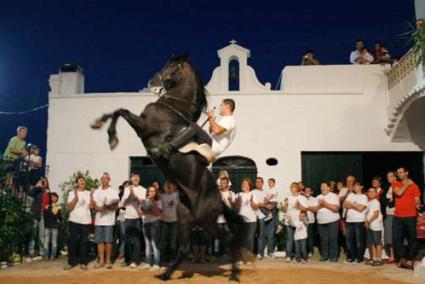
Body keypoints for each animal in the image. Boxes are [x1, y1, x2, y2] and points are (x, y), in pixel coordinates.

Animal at [90, 54, 247, 280]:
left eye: (172, 66)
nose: (152, 83)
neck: (172, 107)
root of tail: (219, 198)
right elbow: (118, 110)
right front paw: (100, 125)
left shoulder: (144, 126)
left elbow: (122, 111)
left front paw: (112, 137)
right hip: (185, 219)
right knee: (184, 248)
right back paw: (165, 274)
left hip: (207, 221)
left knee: (228, 239)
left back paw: (234, 274)